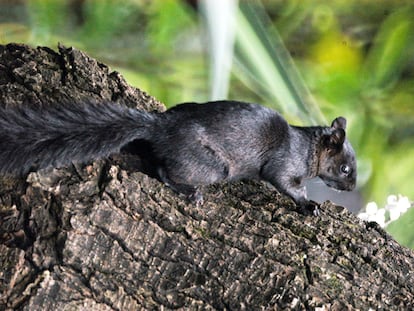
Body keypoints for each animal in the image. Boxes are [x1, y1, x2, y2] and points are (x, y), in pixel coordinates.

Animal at [0, 101, 356, 216]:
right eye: (345, 168)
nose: (352, 189)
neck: (307, 146)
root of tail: (160, 128)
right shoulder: (284, 164)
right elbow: (286, 184)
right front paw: (309, 206)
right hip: (213, 167)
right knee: (162, 169)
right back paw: (188, 191)